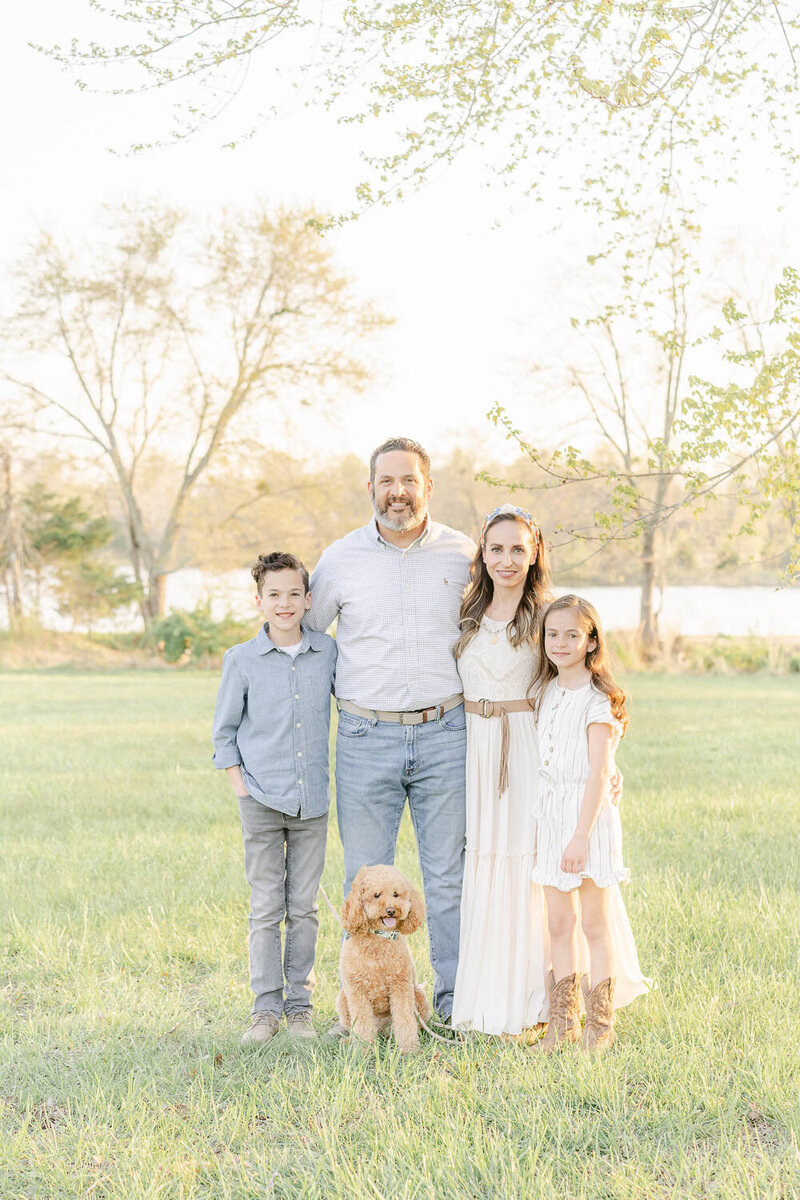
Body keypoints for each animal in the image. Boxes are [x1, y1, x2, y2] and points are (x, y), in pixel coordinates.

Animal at [335, 864, 431, 1051]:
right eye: (376, 894)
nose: (391, 910)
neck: (379, 938)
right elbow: (362, 1024)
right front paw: (364, 1049)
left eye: (396, 894)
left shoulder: (400, 987)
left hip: (418, 994)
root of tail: (381, 1030)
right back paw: (349, 1041)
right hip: (343, 999)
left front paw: (409, 1049)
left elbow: (405, 1021)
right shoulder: (357, 992)